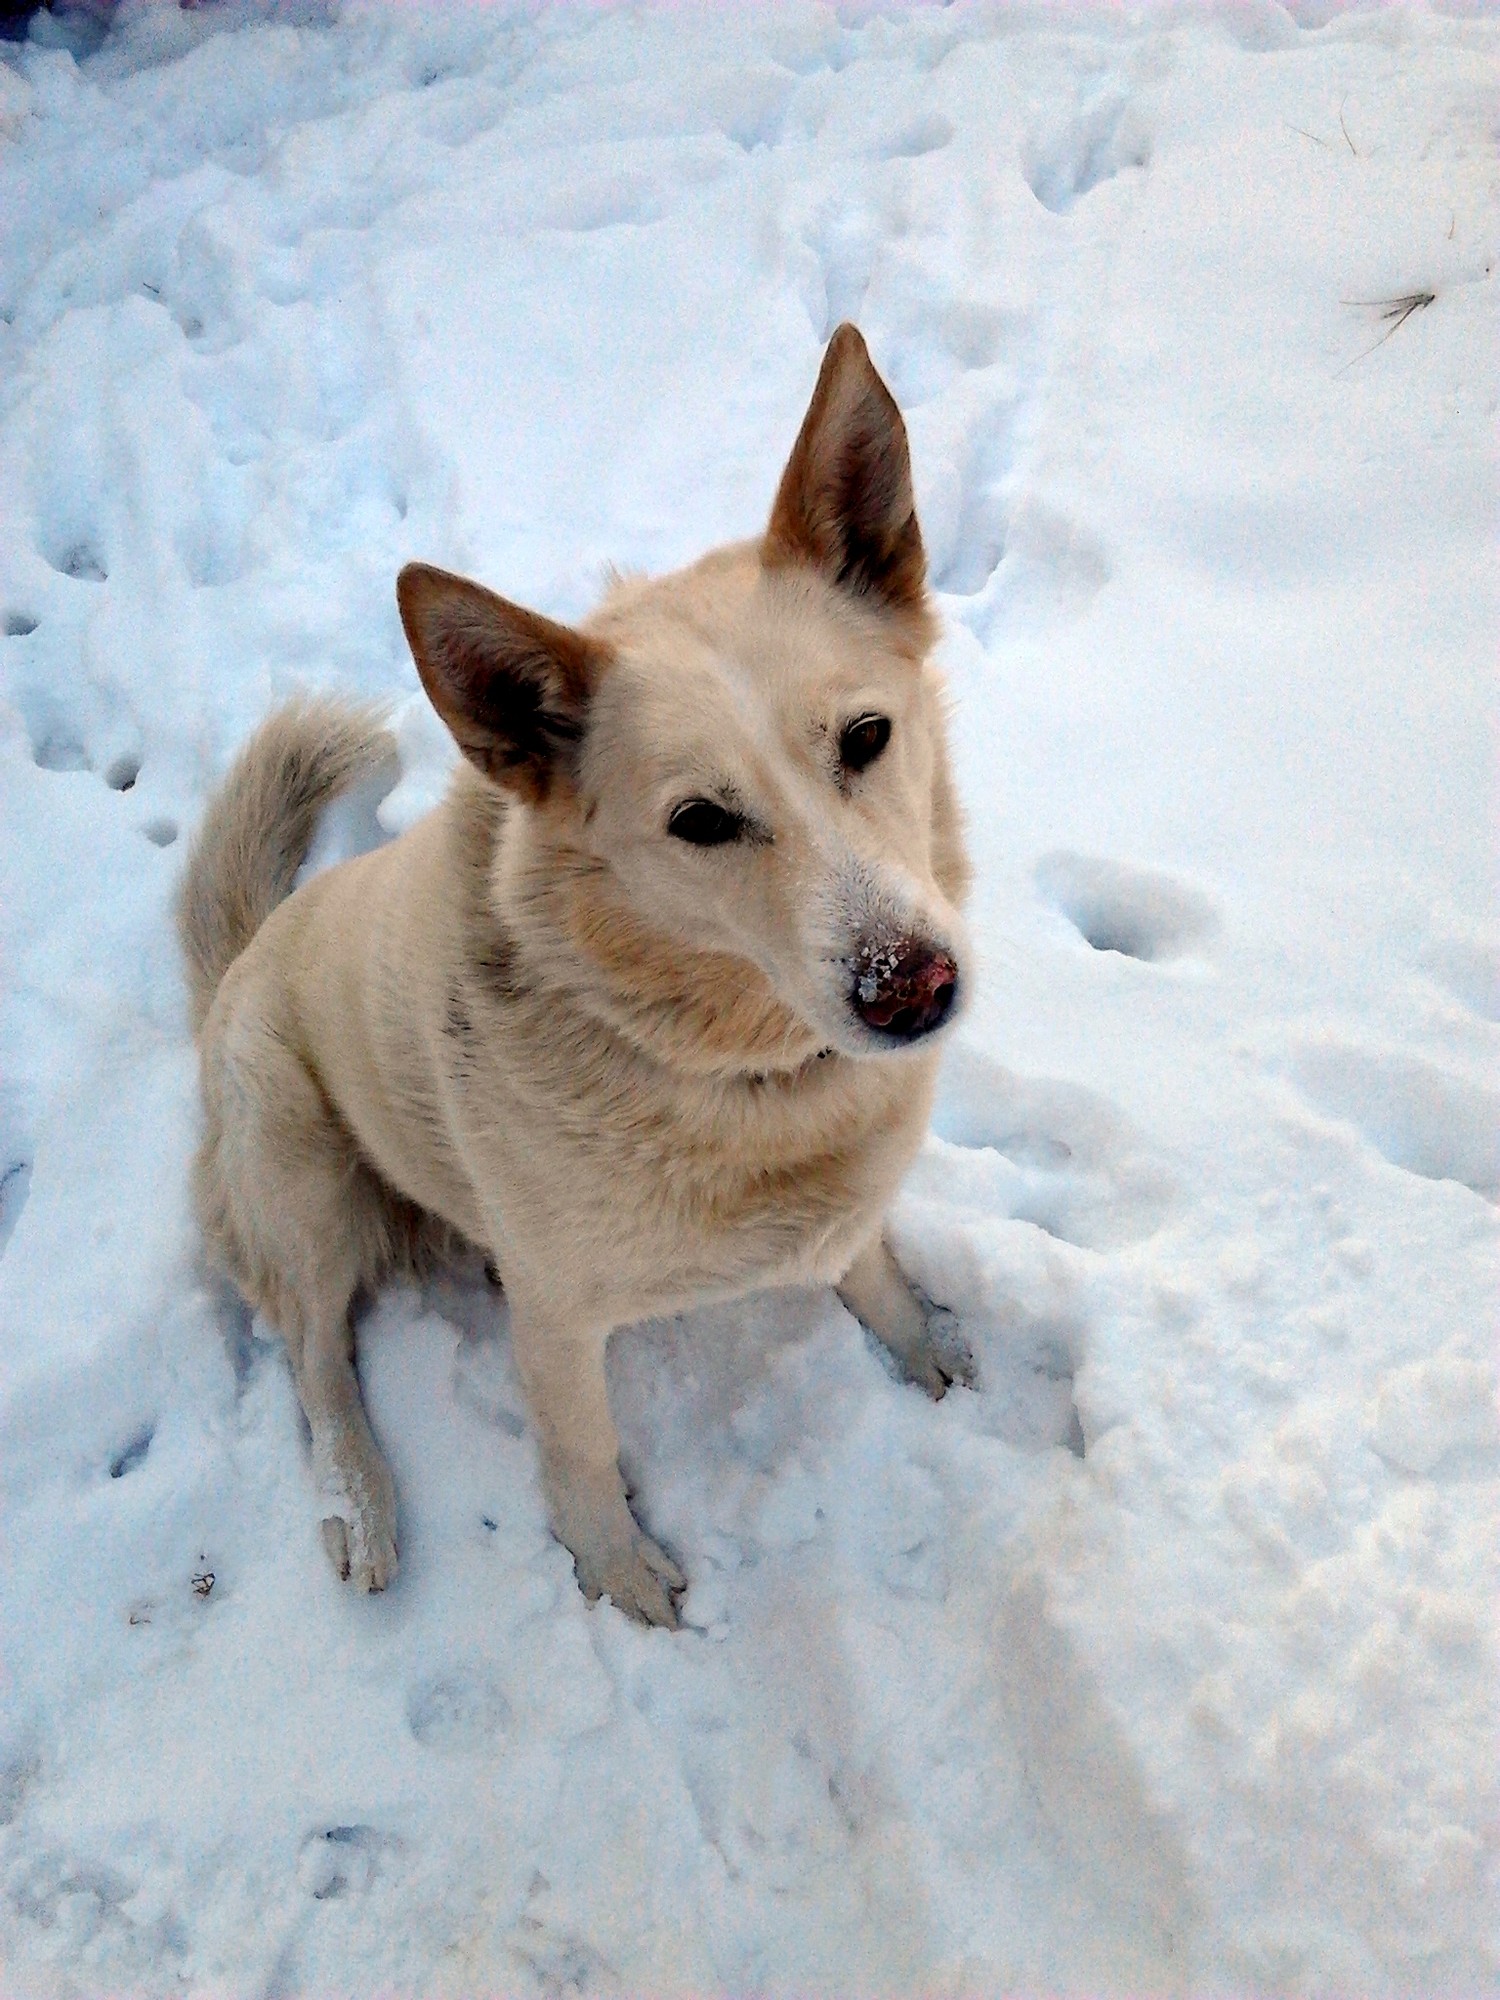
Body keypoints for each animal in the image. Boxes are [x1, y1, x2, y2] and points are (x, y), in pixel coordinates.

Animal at [179, 324, 976, 1624]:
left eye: (866, 737)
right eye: (701, 820)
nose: (911, 986)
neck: (732, 1072)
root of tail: (235, 960)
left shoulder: (845, 1201)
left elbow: (875, 1270)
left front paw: (926, 1348)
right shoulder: (555, 1315)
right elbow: (582, 1450)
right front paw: (620, 1574)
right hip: (302, 1174)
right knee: (315, 1353)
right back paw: (363, 1507)